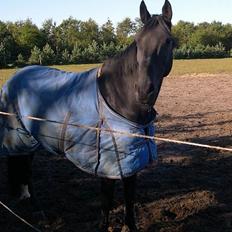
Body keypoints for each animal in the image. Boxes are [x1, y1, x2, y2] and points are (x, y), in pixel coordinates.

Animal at [0, 0, 173, 231]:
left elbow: (130, 199)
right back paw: (39, 212)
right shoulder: (108, 164)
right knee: (26, 172)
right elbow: (106, 202)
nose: (144, 90)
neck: (119, 98)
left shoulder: (131, 161)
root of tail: (14, 77)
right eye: (137, 41)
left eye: (168, 41)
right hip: (21, 140)